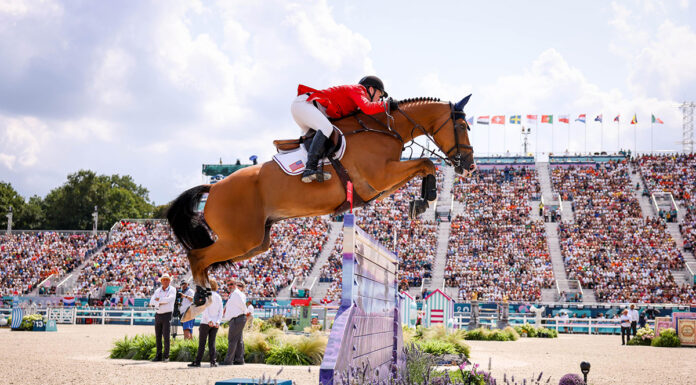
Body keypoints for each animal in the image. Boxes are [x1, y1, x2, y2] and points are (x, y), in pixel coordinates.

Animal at [167, 94, 478, 318]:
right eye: (462, 127)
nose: (470, 166)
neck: (386, 130)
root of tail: (214, 187)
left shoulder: (380, 186)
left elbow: (423, 165)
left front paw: (422, 200)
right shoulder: (379, 177)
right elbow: (426, 162)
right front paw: (427, 196)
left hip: (255, 243)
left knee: (206, 258)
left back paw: (201, 299)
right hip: (241, 238)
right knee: (197, 256)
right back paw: (200, 299)